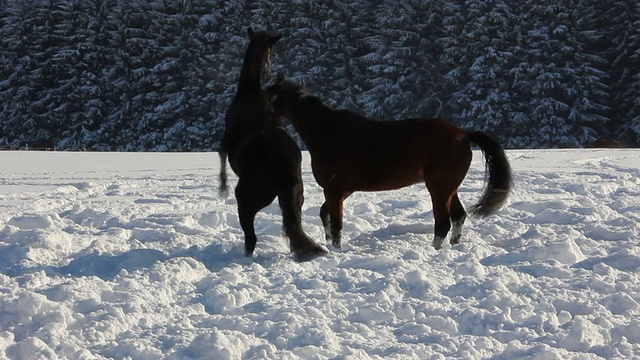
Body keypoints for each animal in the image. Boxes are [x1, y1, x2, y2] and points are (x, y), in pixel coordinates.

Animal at [219, 27, 328, 258]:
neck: (251, 91)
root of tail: (283, 171)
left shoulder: (225, 141)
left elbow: (221, 159)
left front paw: (222, 188)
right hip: (295, 199)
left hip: (247, 200)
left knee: (251, 237)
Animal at [266, 77, 516, 249]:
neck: (326, 131)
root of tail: (463, 135)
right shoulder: (341, 191)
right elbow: (325, 215)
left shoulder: (335, 190)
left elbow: (336, 224)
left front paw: (336, 249)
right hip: (449, 189)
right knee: (458, 217)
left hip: (439, 188)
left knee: (443, 222)